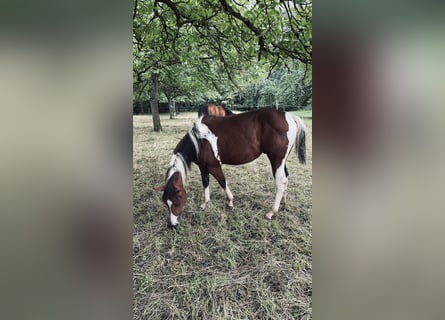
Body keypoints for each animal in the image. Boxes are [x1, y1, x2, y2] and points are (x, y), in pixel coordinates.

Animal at [153, 109, 306, 226]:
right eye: (166, 203)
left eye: (177, 201)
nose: (173, 225)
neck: (199, 140)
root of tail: (289, 116)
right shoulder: (203, 167)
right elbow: (205, 183)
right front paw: (205, 203)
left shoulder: (214, 166)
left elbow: (222, 181)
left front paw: (230, 201)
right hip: (281, 161)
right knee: (286, 178)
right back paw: (283, 204)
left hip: (276, 159)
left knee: (280, 182)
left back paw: (271, 212)